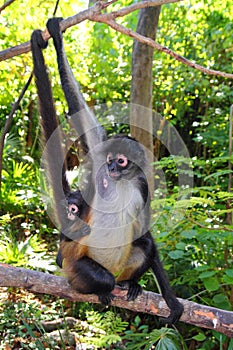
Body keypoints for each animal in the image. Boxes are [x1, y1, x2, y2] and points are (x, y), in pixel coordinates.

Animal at [30, 17, 184, 324]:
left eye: (121, 161)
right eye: (111, 159)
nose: (112, 167)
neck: (121, 182)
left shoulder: (142, 184)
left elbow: (147, 234)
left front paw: (172, 302)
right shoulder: (98, 158)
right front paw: (56, 37)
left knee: (143, 246)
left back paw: (129, 283)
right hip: (76, 265)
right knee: (101, 277)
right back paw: (99, 290)